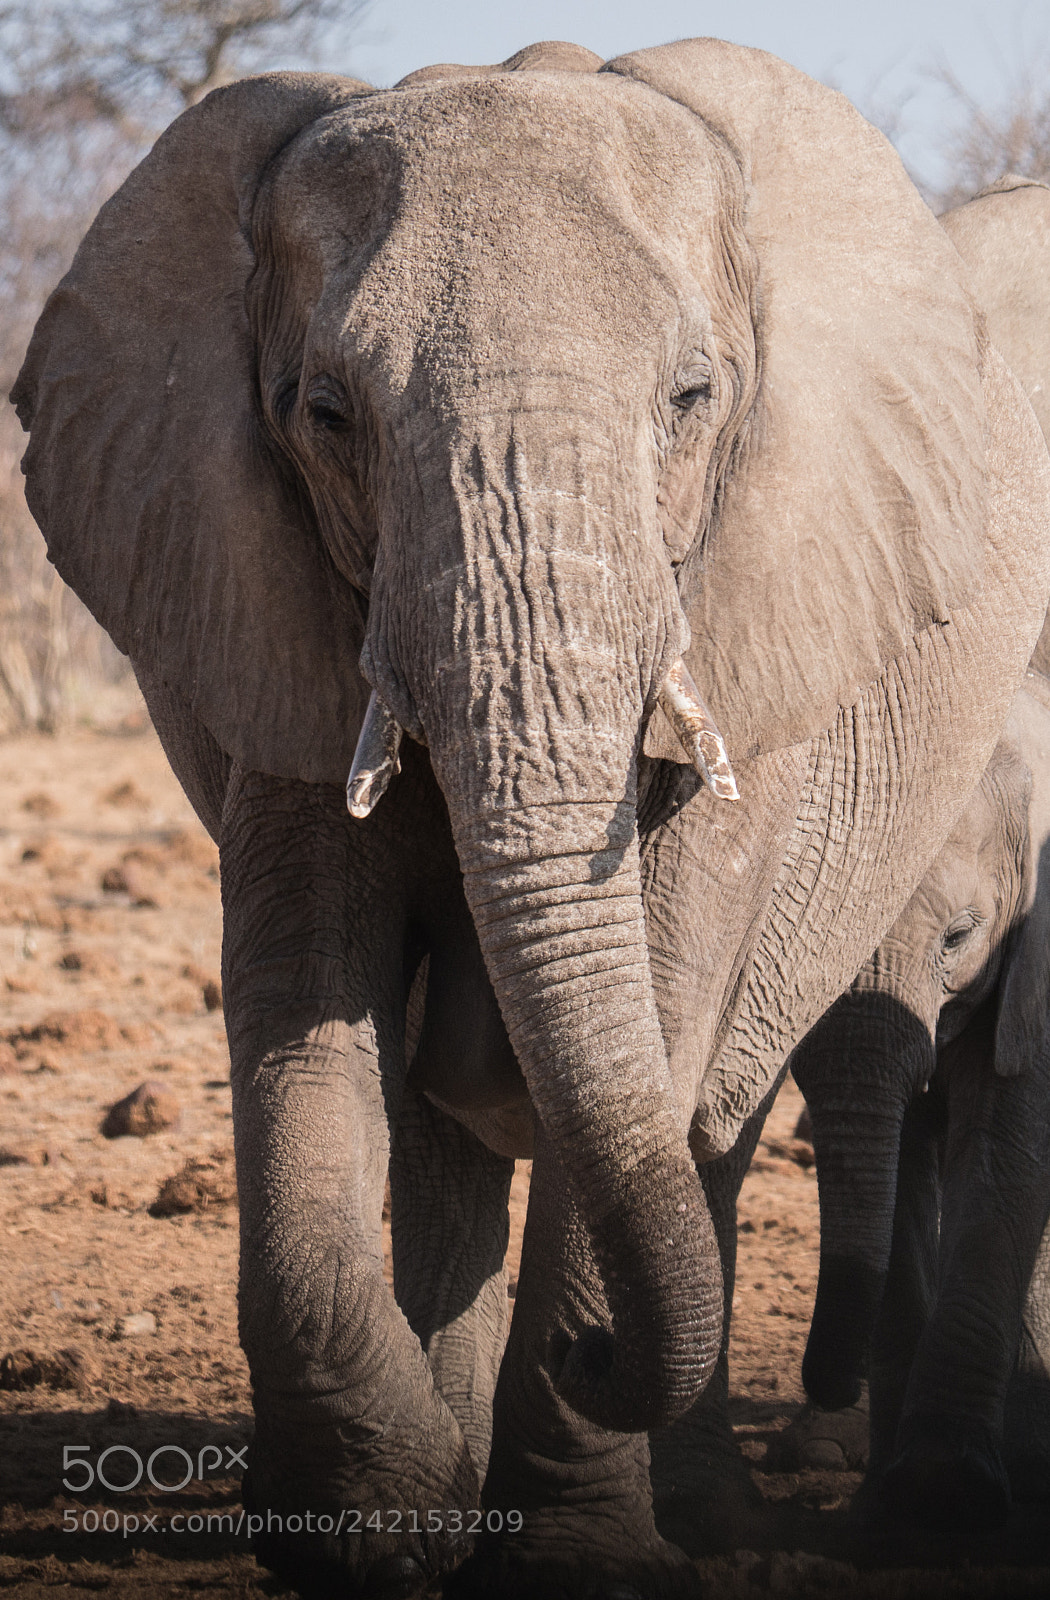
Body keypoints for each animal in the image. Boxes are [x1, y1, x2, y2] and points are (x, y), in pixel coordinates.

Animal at [11, 35, 1050, 1599]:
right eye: (325, 414)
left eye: (692, 398)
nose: (598, 1349)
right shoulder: (277, 606)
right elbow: (300, 991)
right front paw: (382, 1522)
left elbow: (663, 987)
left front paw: (569, 1553)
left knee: (705, 1117)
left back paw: (714, 1513)